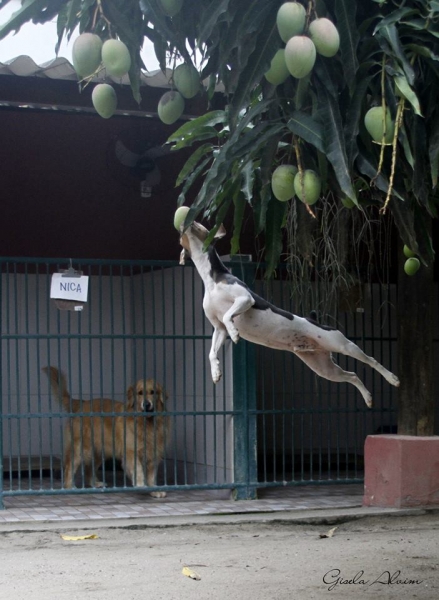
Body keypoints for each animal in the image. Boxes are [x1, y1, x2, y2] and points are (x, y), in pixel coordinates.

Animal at [42, 366, 170, 496]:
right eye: (140, 393)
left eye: (153, 392)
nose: (147, 404)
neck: (147, 424)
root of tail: (82, 403)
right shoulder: (131, 452)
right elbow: (138, 470)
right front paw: (141, 485)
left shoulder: (154, 455)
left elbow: (151, 477)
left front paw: (154, 491)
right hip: (80, 449)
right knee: (69, 467)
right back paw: (69, 487)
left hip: (98, 451)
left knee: (88, 469)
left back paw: (95, 484)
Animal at [180, 220, 402, 408]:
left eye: (197, 222)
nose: (184, 219)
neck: (212, 278)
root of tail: (315, 321)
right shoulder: (218, 328)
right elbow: (212, 352)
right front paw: (216, 372)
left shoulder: (245, 299)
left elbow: (229, 316)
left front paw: (236, 334)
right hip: (324, 368)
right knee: (353, 375)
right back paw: (368, 397)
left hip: (342, 345)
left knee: (370, 360)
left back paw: (392, 378)